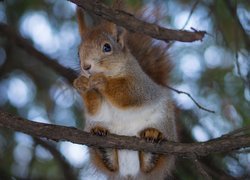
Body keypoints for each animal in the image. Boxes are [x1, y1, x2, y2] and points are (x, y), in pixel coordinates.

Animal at [73, 2, 177, 179]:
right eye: (78, 52)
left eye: (107, 47)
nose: (85, 67)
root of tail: (130, 173)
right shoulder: (96, 108)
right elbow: (94, 107)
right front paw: (81, 84)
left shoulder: (140, 85)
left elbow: (128, 95)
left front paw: (101, 81)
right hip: (95, 126)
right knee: (110, 164)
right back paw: (103, 144)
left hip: (163, 121)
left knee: (151, 165)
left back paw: (152, 138)